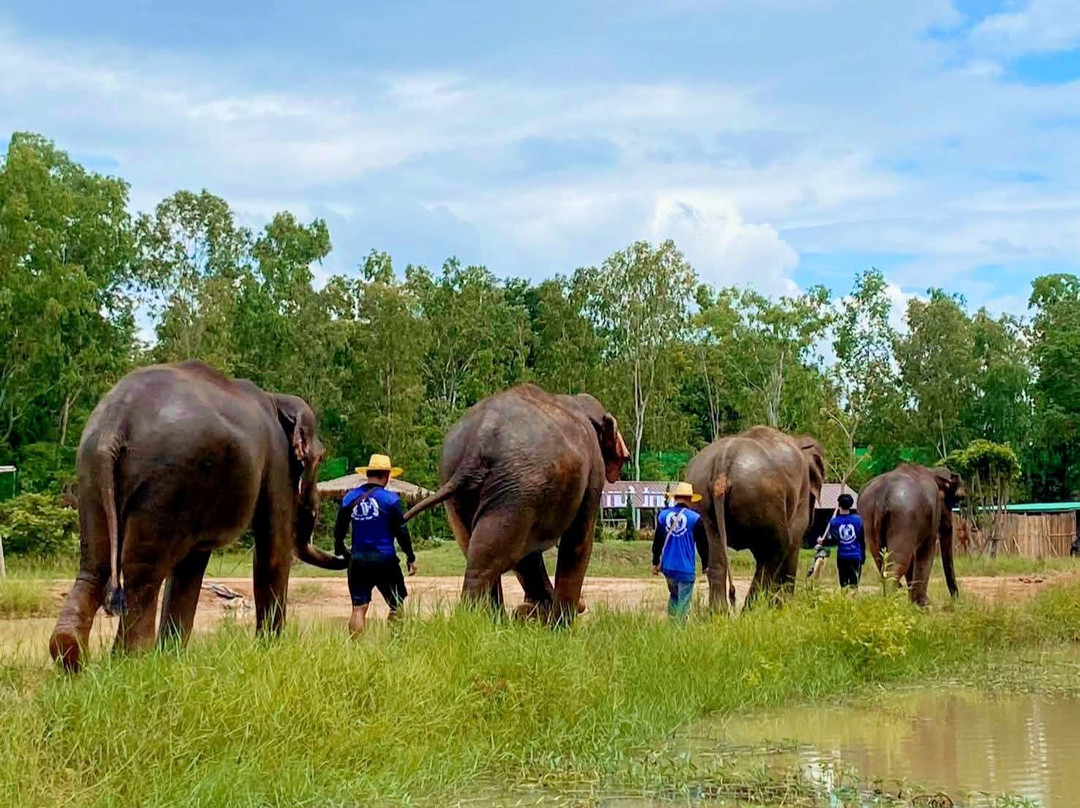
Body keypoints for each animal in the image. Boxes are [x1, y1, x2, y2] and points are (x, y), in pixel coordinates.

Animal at [48, 361, 346, 672]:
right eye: (320, 458)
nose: (344, 551)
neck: (276, 398)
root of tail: (116, 421)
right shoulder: (277, 463)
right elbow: (273, 549)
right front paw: (271, 650)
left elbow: (191, 565)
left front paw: (172, 657)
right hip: (168, 479)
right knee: (142, 572)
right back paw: (133, 661)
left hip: (93, 473)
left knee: (95, 564)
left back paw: (71, 654)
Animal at [403, 384, 630, 623]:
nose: (583, 605)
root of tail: (479, 442)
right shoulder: (594, 472)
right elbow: (577, 540)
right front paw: (557, 624)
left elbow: (530, 555)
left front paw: (537, 613)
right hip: (519, 487)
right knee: (496, 554)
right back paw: (475, 621)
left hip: (469, 484)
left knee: (480, 548)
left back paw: (489, 621)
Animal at [685, 426, 825, 610]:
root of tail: (723, 463)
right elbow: (794, 542)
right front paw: (785, 609)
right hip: (762, 498)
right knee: (776, 548)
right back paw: (751, 611)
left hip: (701, 500)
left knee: (714, 555)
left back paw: (719, 613)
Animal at [858, 464, 964, 605]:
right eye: (954, 500)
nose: (954, 601)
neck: (932, 471)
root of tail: (882, 496)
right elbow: (926, 551)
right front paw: (923, 603)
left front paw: (914, 601)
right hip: (903, 517)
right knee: (898, 562)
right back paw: (890, 601)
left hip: (867, 518)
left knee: (881, 559)